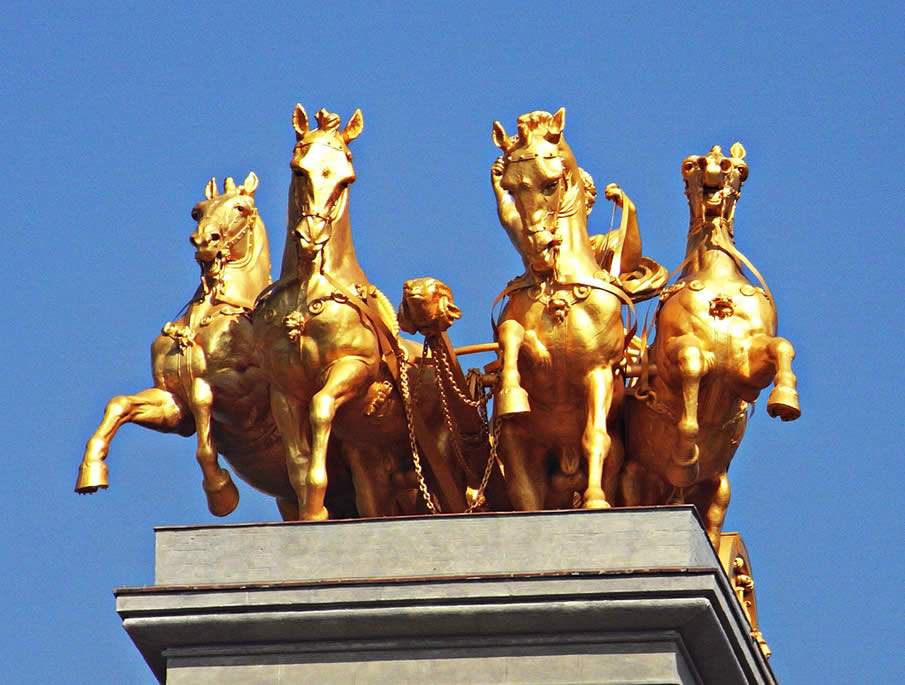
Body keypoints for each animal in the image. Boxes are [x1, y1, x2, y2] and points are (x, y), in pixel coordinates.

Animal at [74, 172, 308, 520]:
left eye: (240, 208)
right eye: (197, 211)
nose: (205, 241)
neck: (202, 320)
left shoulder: (245, 400)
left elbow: (202, 403)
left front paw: (220, 493)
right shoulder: (173, 404)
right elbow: (120, 404)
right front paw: (91, 473)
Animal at [252, 105, 480, 520]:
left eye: (346, 179)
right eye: (299, 169)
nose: (312, 237)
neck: (307, 295)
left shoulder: (351, 368)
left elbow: (321, 408)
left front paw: (316, 503)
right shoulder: (283, 389)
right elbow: (297, 458)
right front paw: (312, 512)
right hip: (372, 453)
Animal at [488, 109, 644, 510]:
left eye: (551, 182)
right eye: (510, 187)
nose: (539, 249)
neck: (558, 287)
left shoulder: (598, 372)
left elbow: (595, 437)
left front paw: (595, 501)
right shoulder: (537, 356)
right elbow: (512, 333)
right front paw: (511, 393)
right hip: (520, 455)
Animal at [620, 143, 800, 544]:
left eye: (738, 169)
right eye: (692, 165)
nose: (715, 173)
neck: (717, 282)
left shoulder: (746, 370)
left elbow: (782, 347)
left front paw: (785, 401)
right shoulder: (673, 356)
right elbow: (691, 362)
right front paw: (687, 452)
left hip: (718, 492)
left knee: (715, 529)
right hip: (635, 481)